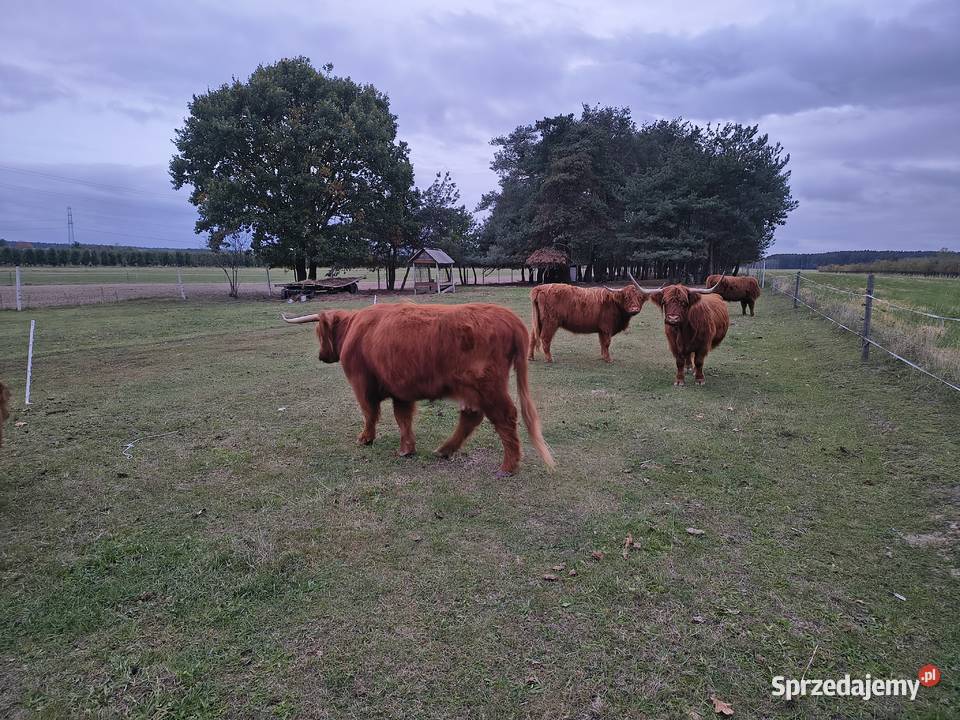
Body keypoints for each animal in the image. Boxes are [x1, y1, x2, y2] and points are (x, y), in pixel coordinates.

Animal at [282, 303, 555, 477]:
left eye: (318, 332)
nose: (321, 356)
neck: (355, 329)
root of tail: (509, 318)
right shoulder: (401, 390)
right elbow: (403, 418)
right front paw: (407, 449)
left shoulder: (361, 384)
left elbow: (370, 413)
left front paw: (365, 439)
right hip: (472, 389)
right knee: (472, 416)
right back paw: (444, 450)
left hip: (489, 387)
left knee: (505, 417)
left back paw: (508, 467)